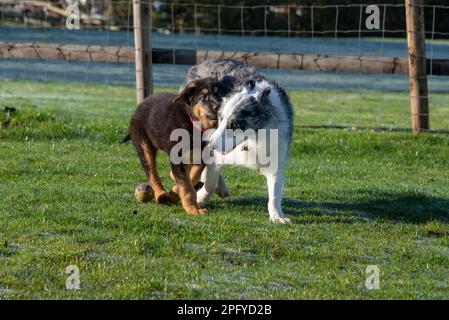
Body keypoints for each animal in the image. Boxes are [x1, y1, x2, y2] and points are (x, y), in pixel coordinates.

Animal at [129, 78, 228, 215]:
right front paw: (192, 209)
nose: (218, 107)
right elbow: (186, 186)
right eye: (203, 97)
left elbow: (192, 177)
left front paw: (175, 192)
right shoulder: (178, 158)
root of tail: (142, 103)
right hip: (144, 146)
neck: (197, 128)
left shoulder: (202, 157)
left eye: (221, 96)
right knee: (152, 174)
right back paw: (161, 195)